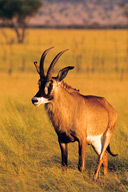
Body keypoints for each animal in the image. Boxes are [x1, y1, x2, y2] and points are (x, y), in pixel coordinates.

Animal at [31, 47, 117, 180]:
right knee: (105, 157)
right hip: (94, 141)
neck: (69, 110)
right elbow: (64, 165)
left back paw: (94, 178)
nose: (35, 100)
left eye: (51, 84)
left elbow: (80, 166)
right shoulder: (62, 140)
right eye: (39, 83)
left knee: (101, 157)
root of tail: (108, 105)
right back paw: (104, 177)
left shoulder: (81, 139)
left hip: (108, 134)